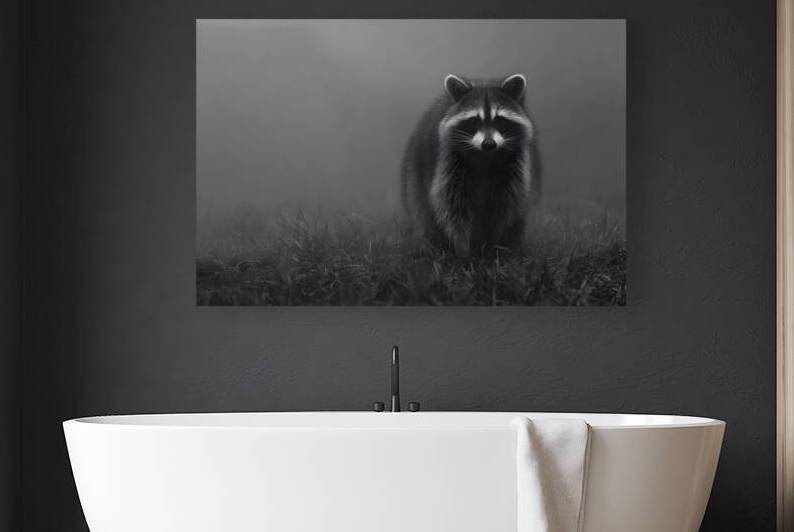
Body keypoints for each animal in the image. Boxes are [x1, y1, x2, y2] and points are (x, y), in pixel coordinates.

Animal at [401, 73, 540, 257]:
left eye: (500, 121)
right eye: (474, 121)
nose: (488, 143)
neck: (485, 156)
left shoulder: (514, 166)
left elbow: (505, 204)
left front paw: (492, 245)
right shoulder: (449, 162)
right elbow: (451, 205)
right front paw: (462, 248)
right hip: (415, 169)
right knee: (423, 209)